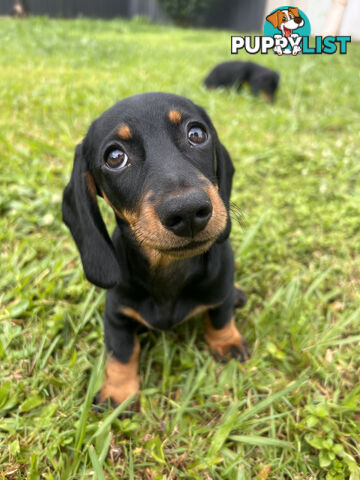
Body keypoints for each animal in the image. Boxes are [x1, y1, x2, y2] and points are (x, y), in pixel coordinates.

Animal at [62, 93, 248, 408]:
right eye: (115, 157)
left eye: (196, 134)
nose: (188, 211)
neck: (169, 268)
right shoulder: (117, 313)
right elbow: (121, 352)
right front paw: (119, 392)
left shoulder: (220, 286)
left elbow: (221, 317)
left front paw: (228, 342)